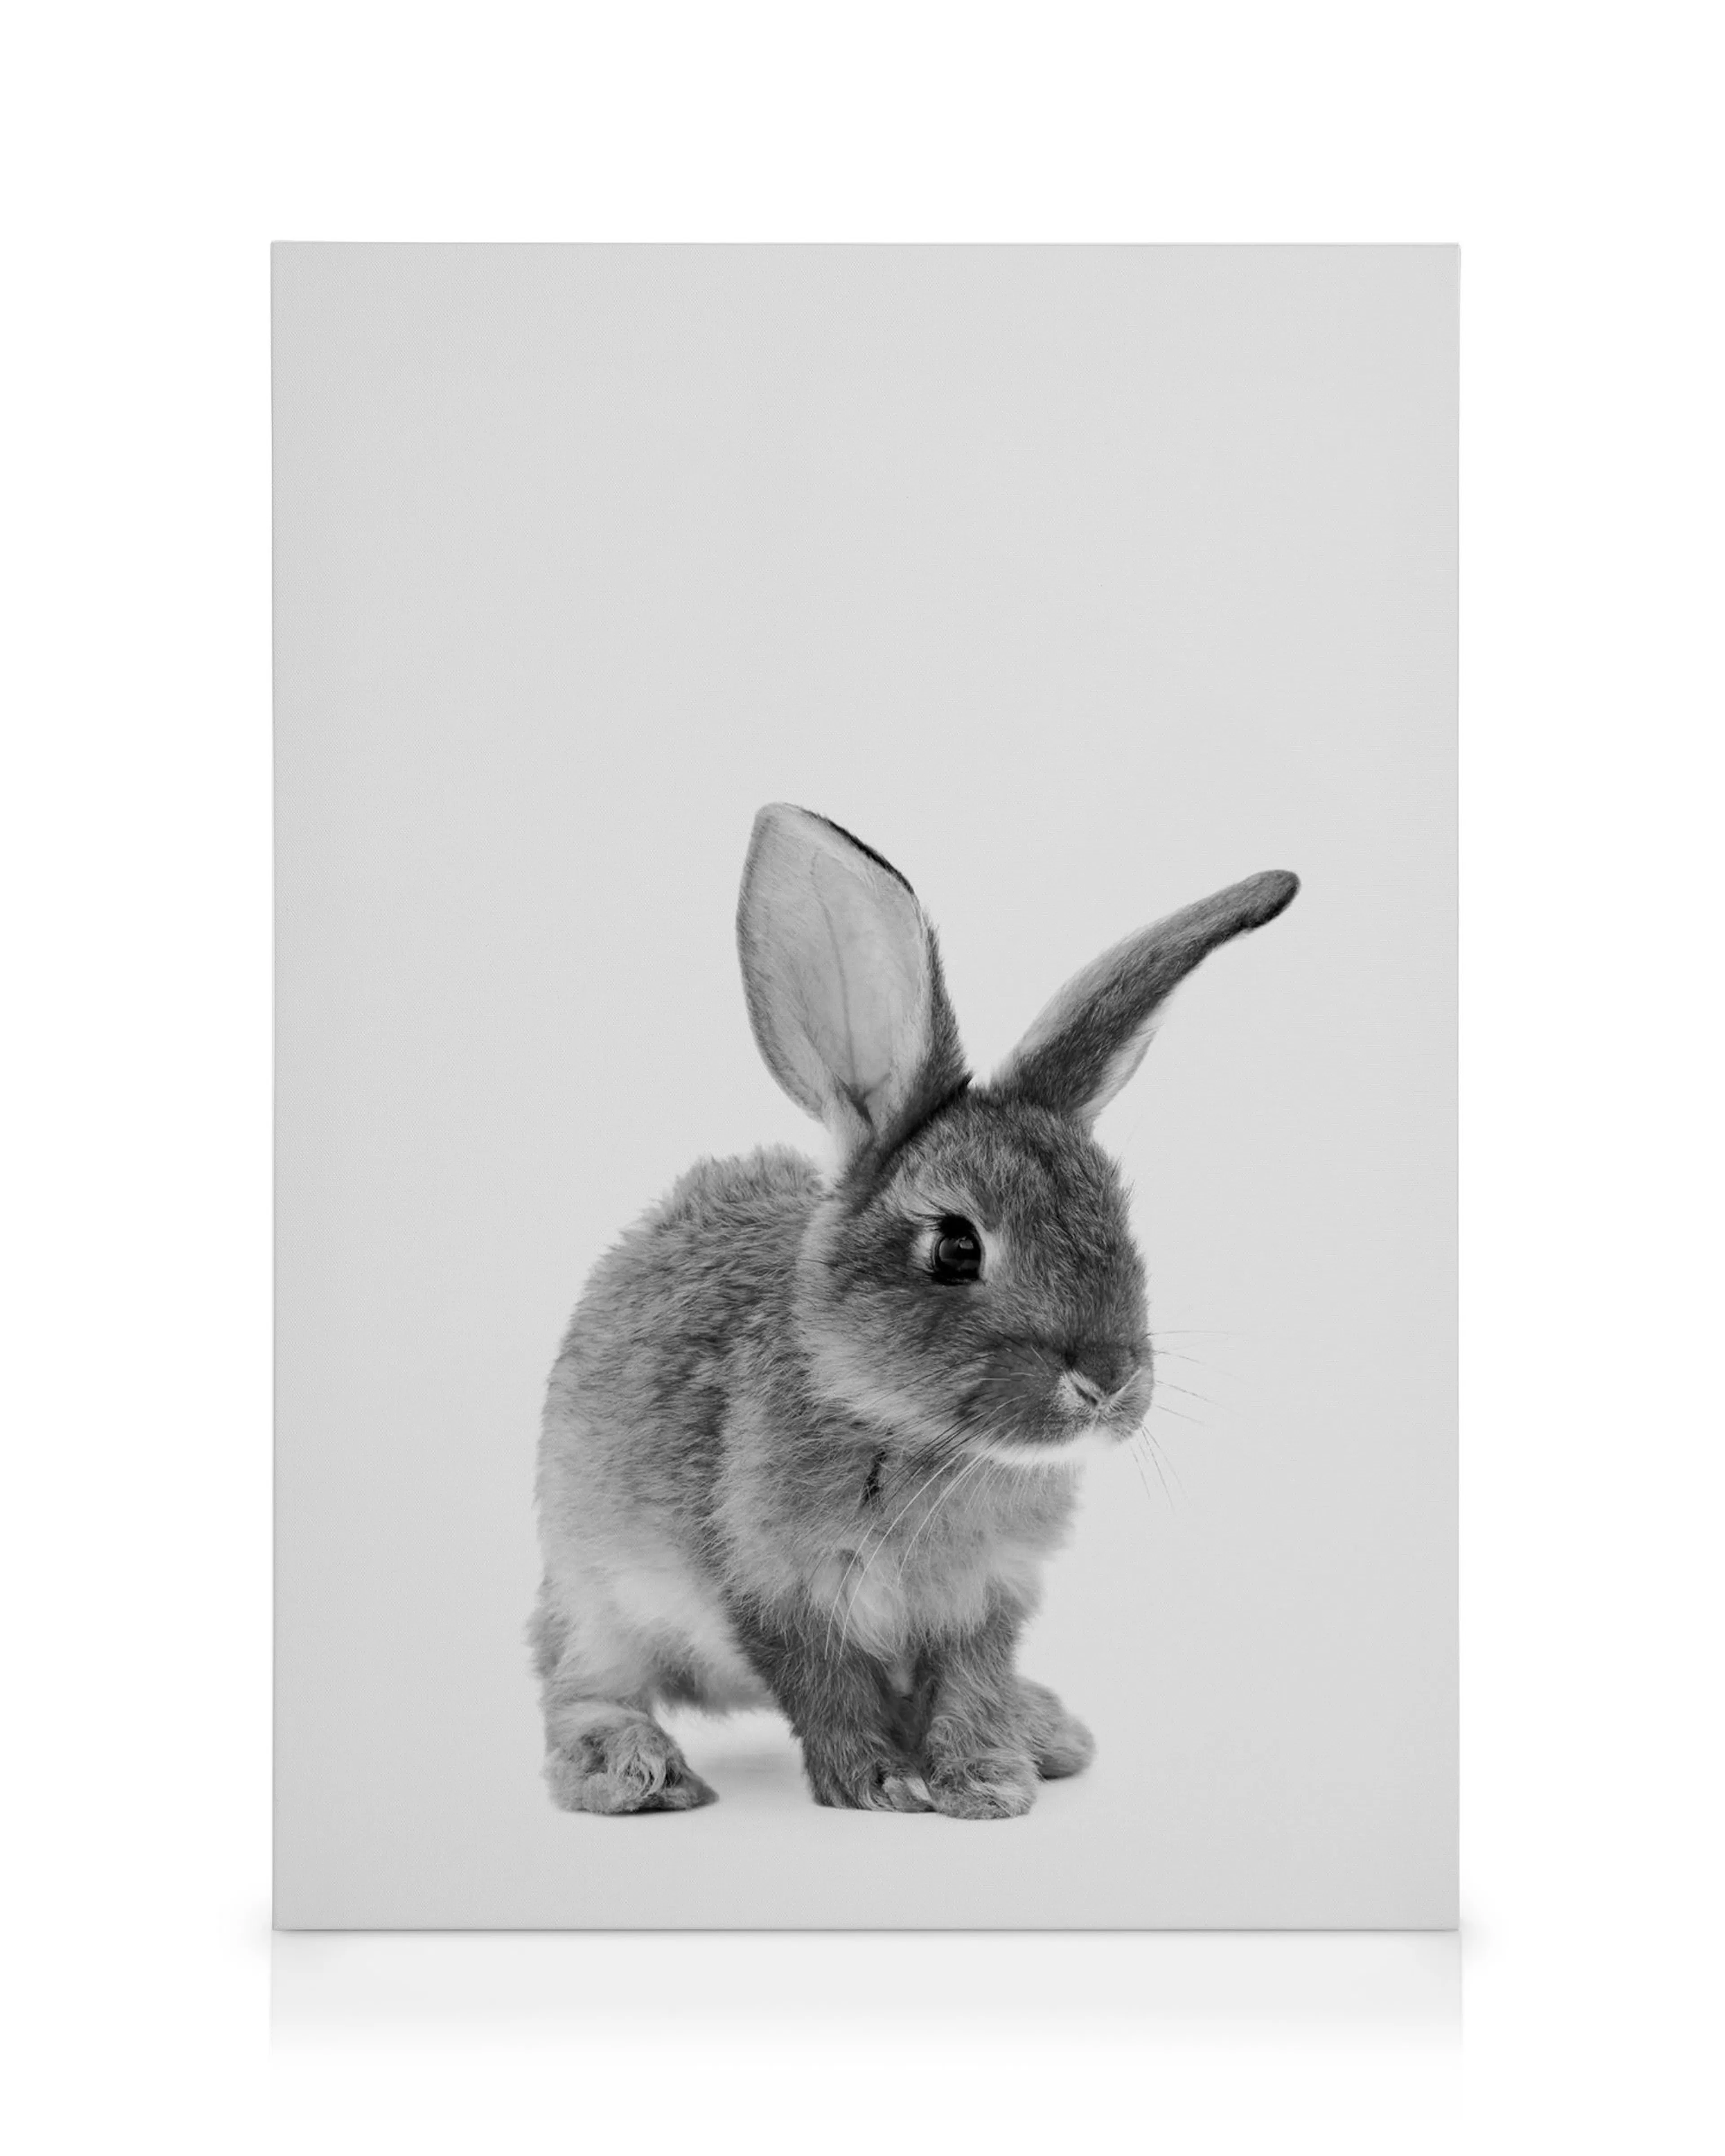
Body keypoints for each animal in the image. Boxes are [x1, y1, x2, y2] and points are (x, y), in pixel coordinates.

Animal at [530, 804, 1298, 1819]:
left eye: (1117, 1218)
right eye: (956, 1249)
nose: (1110, 1382)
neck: (917, 1435)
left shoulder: (983, 1605)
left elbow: (969, 1687)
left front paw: (988, 1779)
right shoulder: (777, 1593)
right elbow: (828, 1692)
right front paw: (884, 1784)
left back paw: (1047, 1730)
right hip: (594, 1592)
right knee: (577, 1682)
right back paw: (630, 1766)